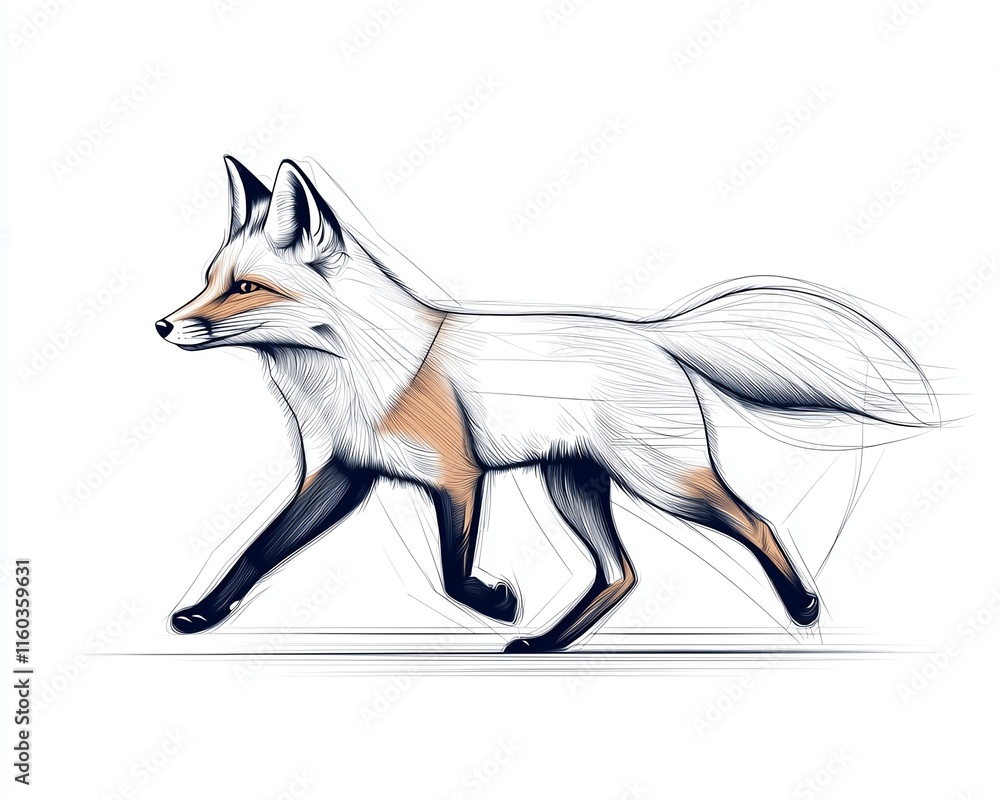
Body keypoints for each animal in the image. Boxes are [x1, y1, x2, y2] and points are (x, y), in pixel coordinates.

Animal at [157, 155, 937, 652]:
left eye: (247, 288)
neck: (355, 379)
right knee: (621, 573)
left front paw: (497, 601)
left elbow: (452, 576)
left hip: (663, 481)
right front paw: (199, 614)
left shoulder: (458, 477)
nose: (163, 325)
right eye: (209, 280)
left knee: (759, 521)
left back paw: (803, 606)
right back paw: (548, 643)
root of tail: (654, 332)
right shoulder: (341, 476)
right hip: (573, 485)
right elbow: (256, 552)